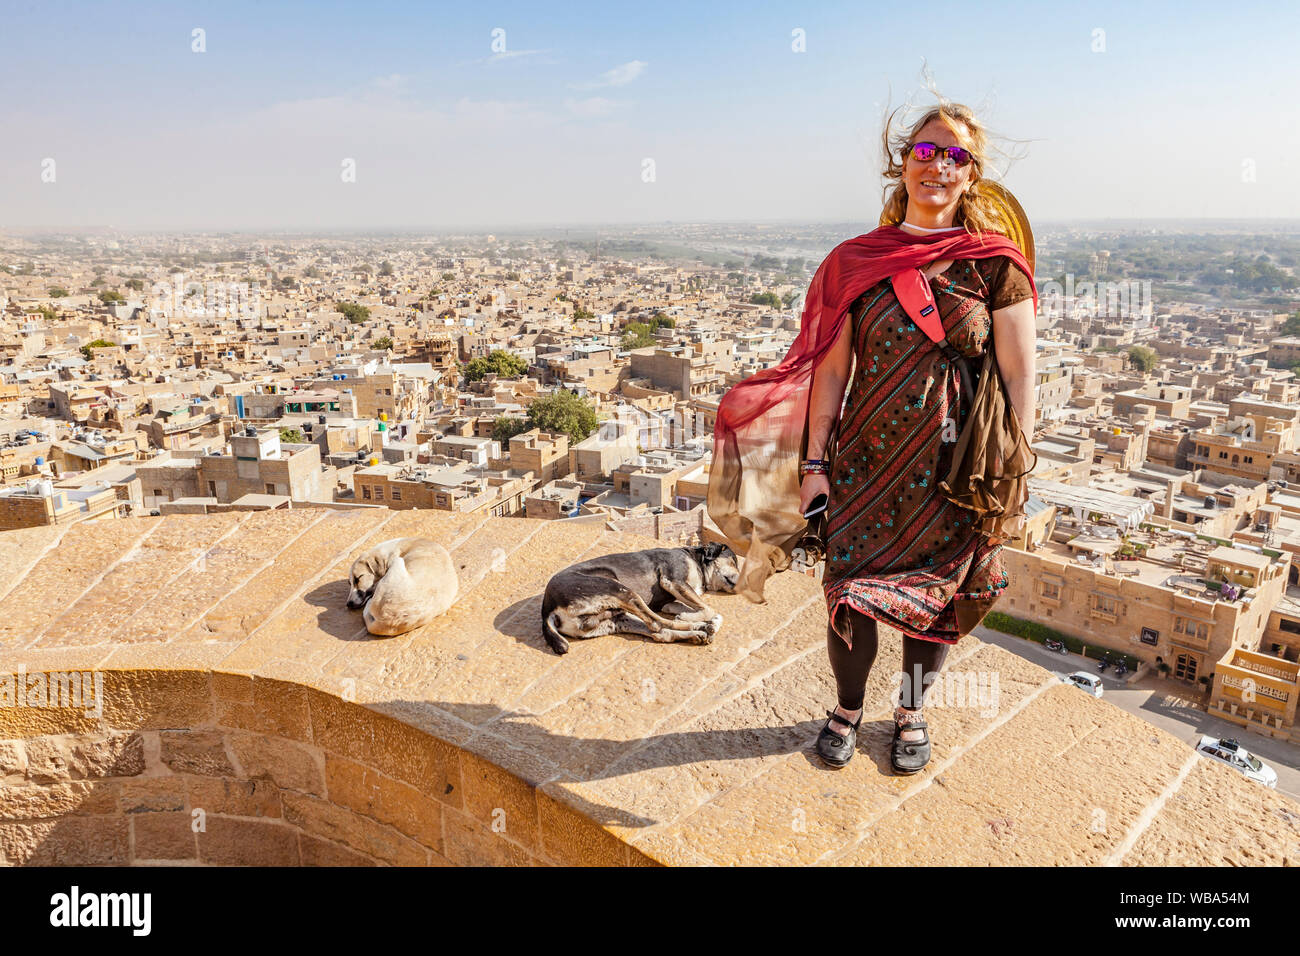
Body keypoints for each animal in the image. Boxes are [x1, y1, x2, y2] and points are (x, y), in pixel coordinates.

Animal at [540, 541, 743, 655]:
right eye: (734, 561)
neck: (695, 559)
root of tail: (547, 609)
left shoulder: (671, 601)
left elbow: (708, 610)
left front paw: (708, 621)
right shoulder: (673, 581)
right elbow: (709, 609)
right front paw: (691, 617)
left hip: (616, 620)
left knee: (659, 633)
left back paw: (698, 633)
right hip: (621, 590)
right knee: (657, 623)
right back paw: (699, 627)